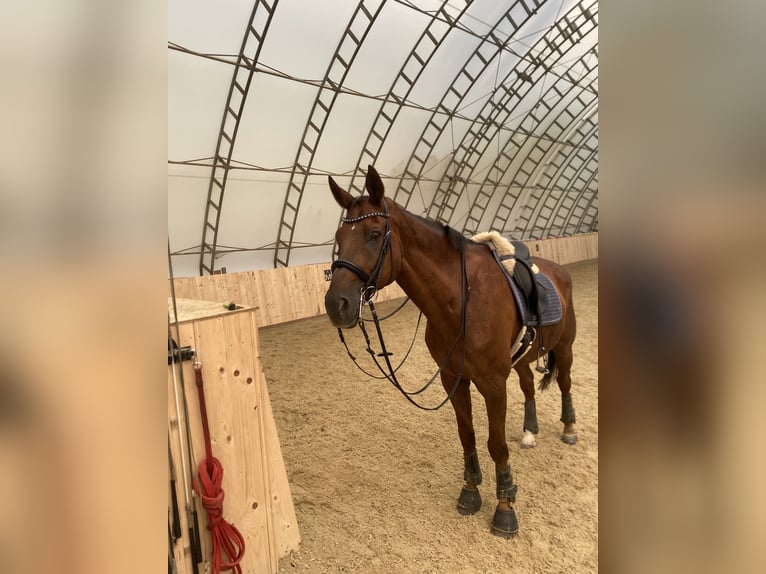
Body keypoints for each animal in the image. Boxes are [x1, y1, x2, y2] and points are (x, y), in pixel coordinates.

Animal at [320, 166, 580, 540]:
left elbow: (495, 443)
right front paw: (470, 492)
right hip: (521, 358)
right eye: (340, 236)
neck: (462, 300)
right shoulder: (453, 378)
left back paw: (569, 429)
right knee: (529, 384)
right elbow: (467, 434)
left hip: (565, 346)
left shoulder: (492, 383)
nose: (336, 304)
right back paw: (530, 432)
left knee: (565, 383)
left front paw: (505, 508)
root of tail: (558, 269)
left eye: (374, 234)